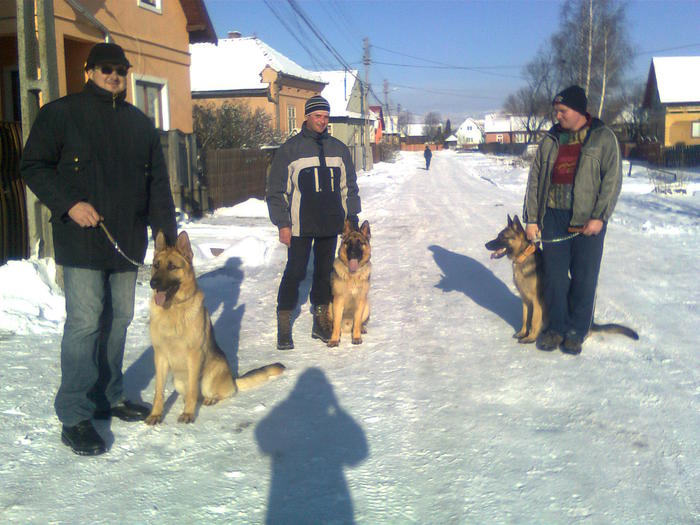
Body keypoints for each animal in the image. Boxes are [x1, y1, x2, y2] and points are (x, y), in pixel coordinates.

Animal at [146, 229, 284, 422]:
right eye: (156, 265)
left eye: (172, 266)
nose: (153, 283)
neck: (174, 309)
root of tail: (232, 378)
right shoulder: (160, 357)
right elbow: (158, 391)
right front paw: (156, 414)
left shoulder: (194, 355)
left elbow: (192, 390)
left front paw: (188, 414)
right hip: (177, 381)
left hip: (209, 378)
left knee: (217, 393)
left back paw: (209, 399)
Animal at [484, 214, 636, 344]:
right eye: (498, 236)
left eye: (502, 237)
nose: (486, 245)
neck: (523, 255)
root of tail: (592, 324)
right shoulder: (526, 301)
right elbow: (525, 318)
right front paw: (522, 333)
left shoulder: (536, 302)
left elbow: (534, 321)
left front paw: (530, 338)